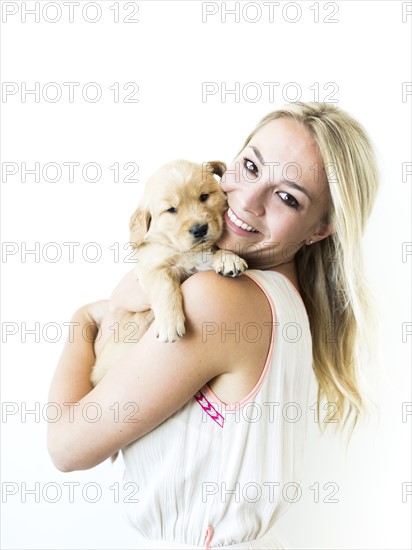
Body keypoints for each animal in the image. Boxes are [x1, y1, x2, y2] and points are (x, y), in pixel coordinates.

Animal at [91, 157, 246, 386]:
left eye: (204, 196)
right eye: (171, 209)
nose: (200, 229)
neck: (187, 251)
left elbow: (216, 248)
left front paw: (229, 258)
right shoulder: (151, 267)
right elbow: (164, 287)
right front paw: (170, 323)